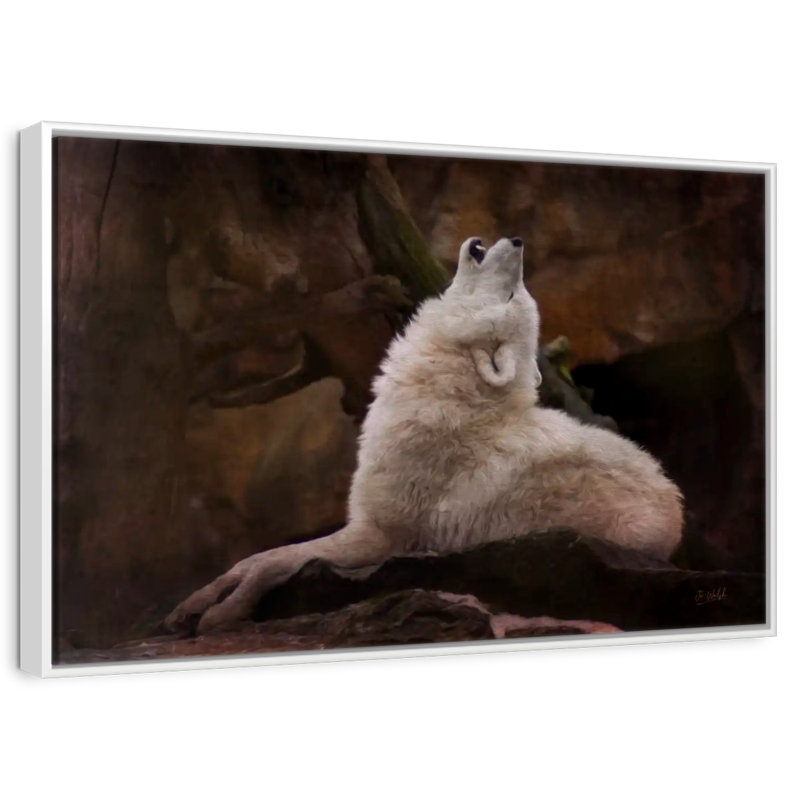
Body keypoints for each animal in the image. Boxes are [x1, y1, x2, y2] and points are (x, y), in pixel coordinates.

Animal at [166, 236, 683, 633]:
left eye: (513, 295)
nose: (518, 241)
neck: (451, 393)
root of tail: (676, 515)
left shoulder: (376, 534)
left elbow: (272, 562)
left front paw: (220, 615)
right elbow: (253, 558)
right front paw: (189, 605)